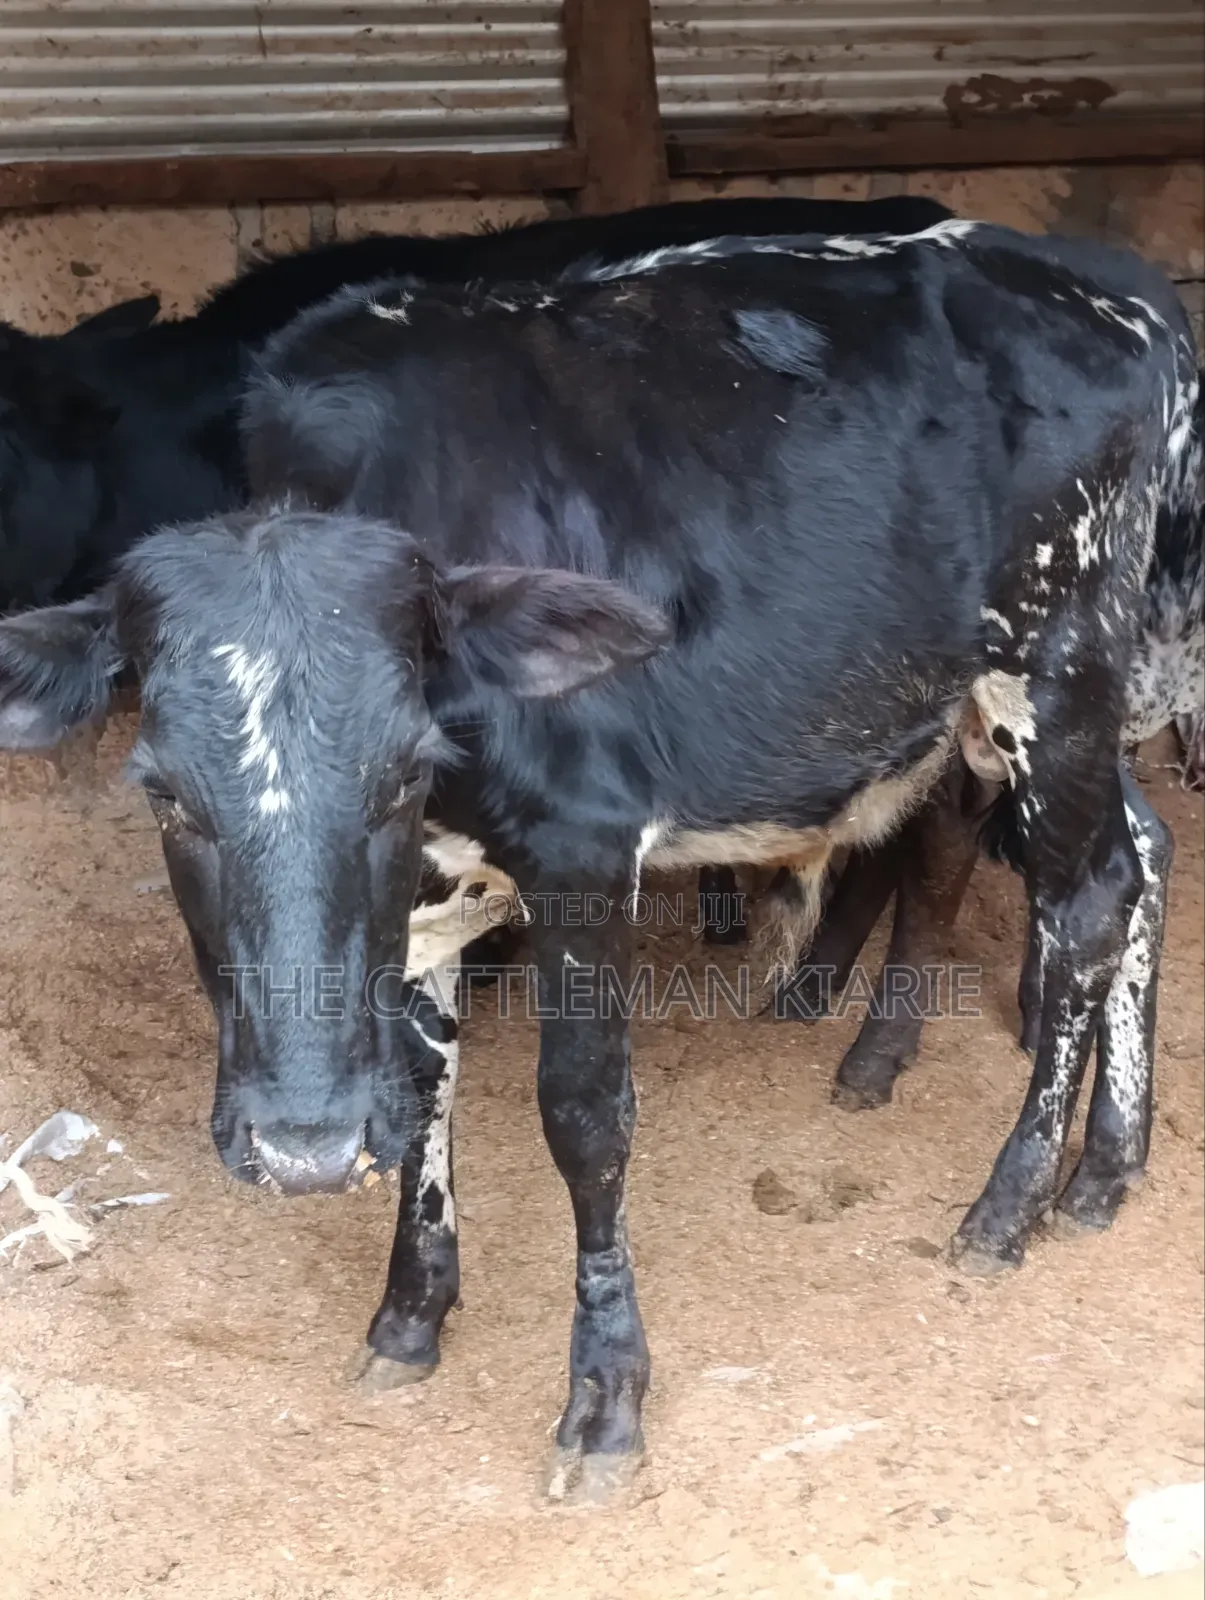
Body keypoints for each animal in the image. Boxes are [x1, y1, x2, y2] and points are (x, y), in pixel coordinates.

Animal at [0, 219, 1196, 1500]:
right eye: (162, 789)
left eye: (404, 767)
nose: (301, 1147)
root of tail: (1107, 287)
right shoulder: (423, 899)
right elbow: (421, 1086)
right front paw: (409, 1314)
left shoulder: (582, 846)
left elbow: (583, 1115)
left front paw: (604, 1396)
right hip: (1031, 706)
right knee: (1142, 856)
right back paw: (1104, 1167)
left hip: (1056, 677)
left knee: (1083, 906)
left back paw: (1007, 1202)